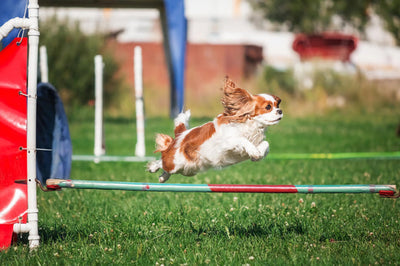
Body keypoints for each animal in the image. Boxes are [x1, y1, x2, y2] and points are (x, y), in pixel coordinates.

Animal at [147, 76, 282, 182]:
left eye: (277, 105)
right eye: (268, 107)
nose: (280, 111)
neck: (249, 125)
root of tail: (181, 135)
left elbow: (266, 143)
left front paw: (257, 154)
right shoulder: (227, 141)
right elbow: (242, 140)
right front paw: (254, 151)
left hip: (189, 170)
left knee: (168, 170)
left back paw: (163, 177)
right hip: (176, 162)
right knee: (162, 161)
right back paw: (153, 168)